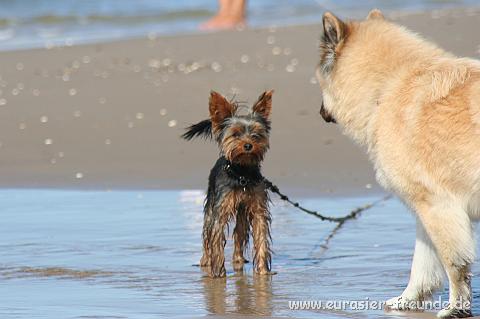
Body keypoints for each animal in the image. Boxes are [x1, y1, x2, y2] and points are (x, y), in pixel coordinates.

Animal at [316, 8, 480, 318]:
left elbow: (454, 265)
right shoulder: (427, 210)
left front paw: (455, 308)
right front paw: (409, 300)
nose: (320, 112)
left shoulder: (438, 207)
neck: (388, 85)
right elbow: (423, 265)